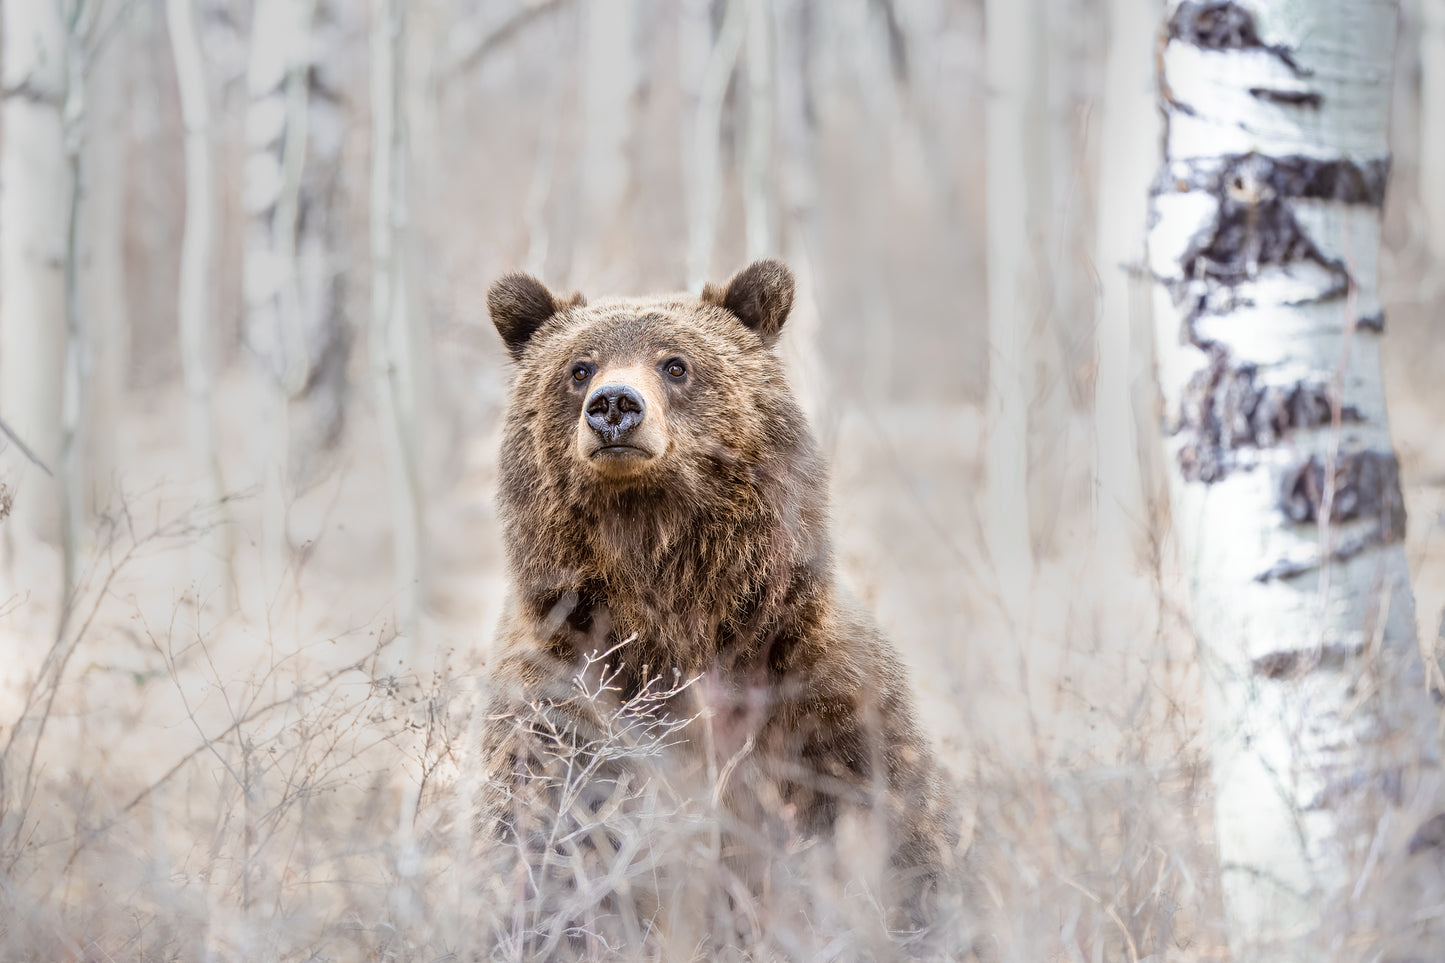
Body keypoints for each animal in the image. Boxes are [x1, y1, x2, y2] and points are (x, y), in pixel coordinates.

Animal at [482, 258, 959, 948]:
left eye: (675, 363)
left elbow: (888, 828)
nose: (614, 406)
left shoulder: (815, 699)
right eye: (579, 367)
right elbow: (547, 845)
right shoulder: (563, 702)